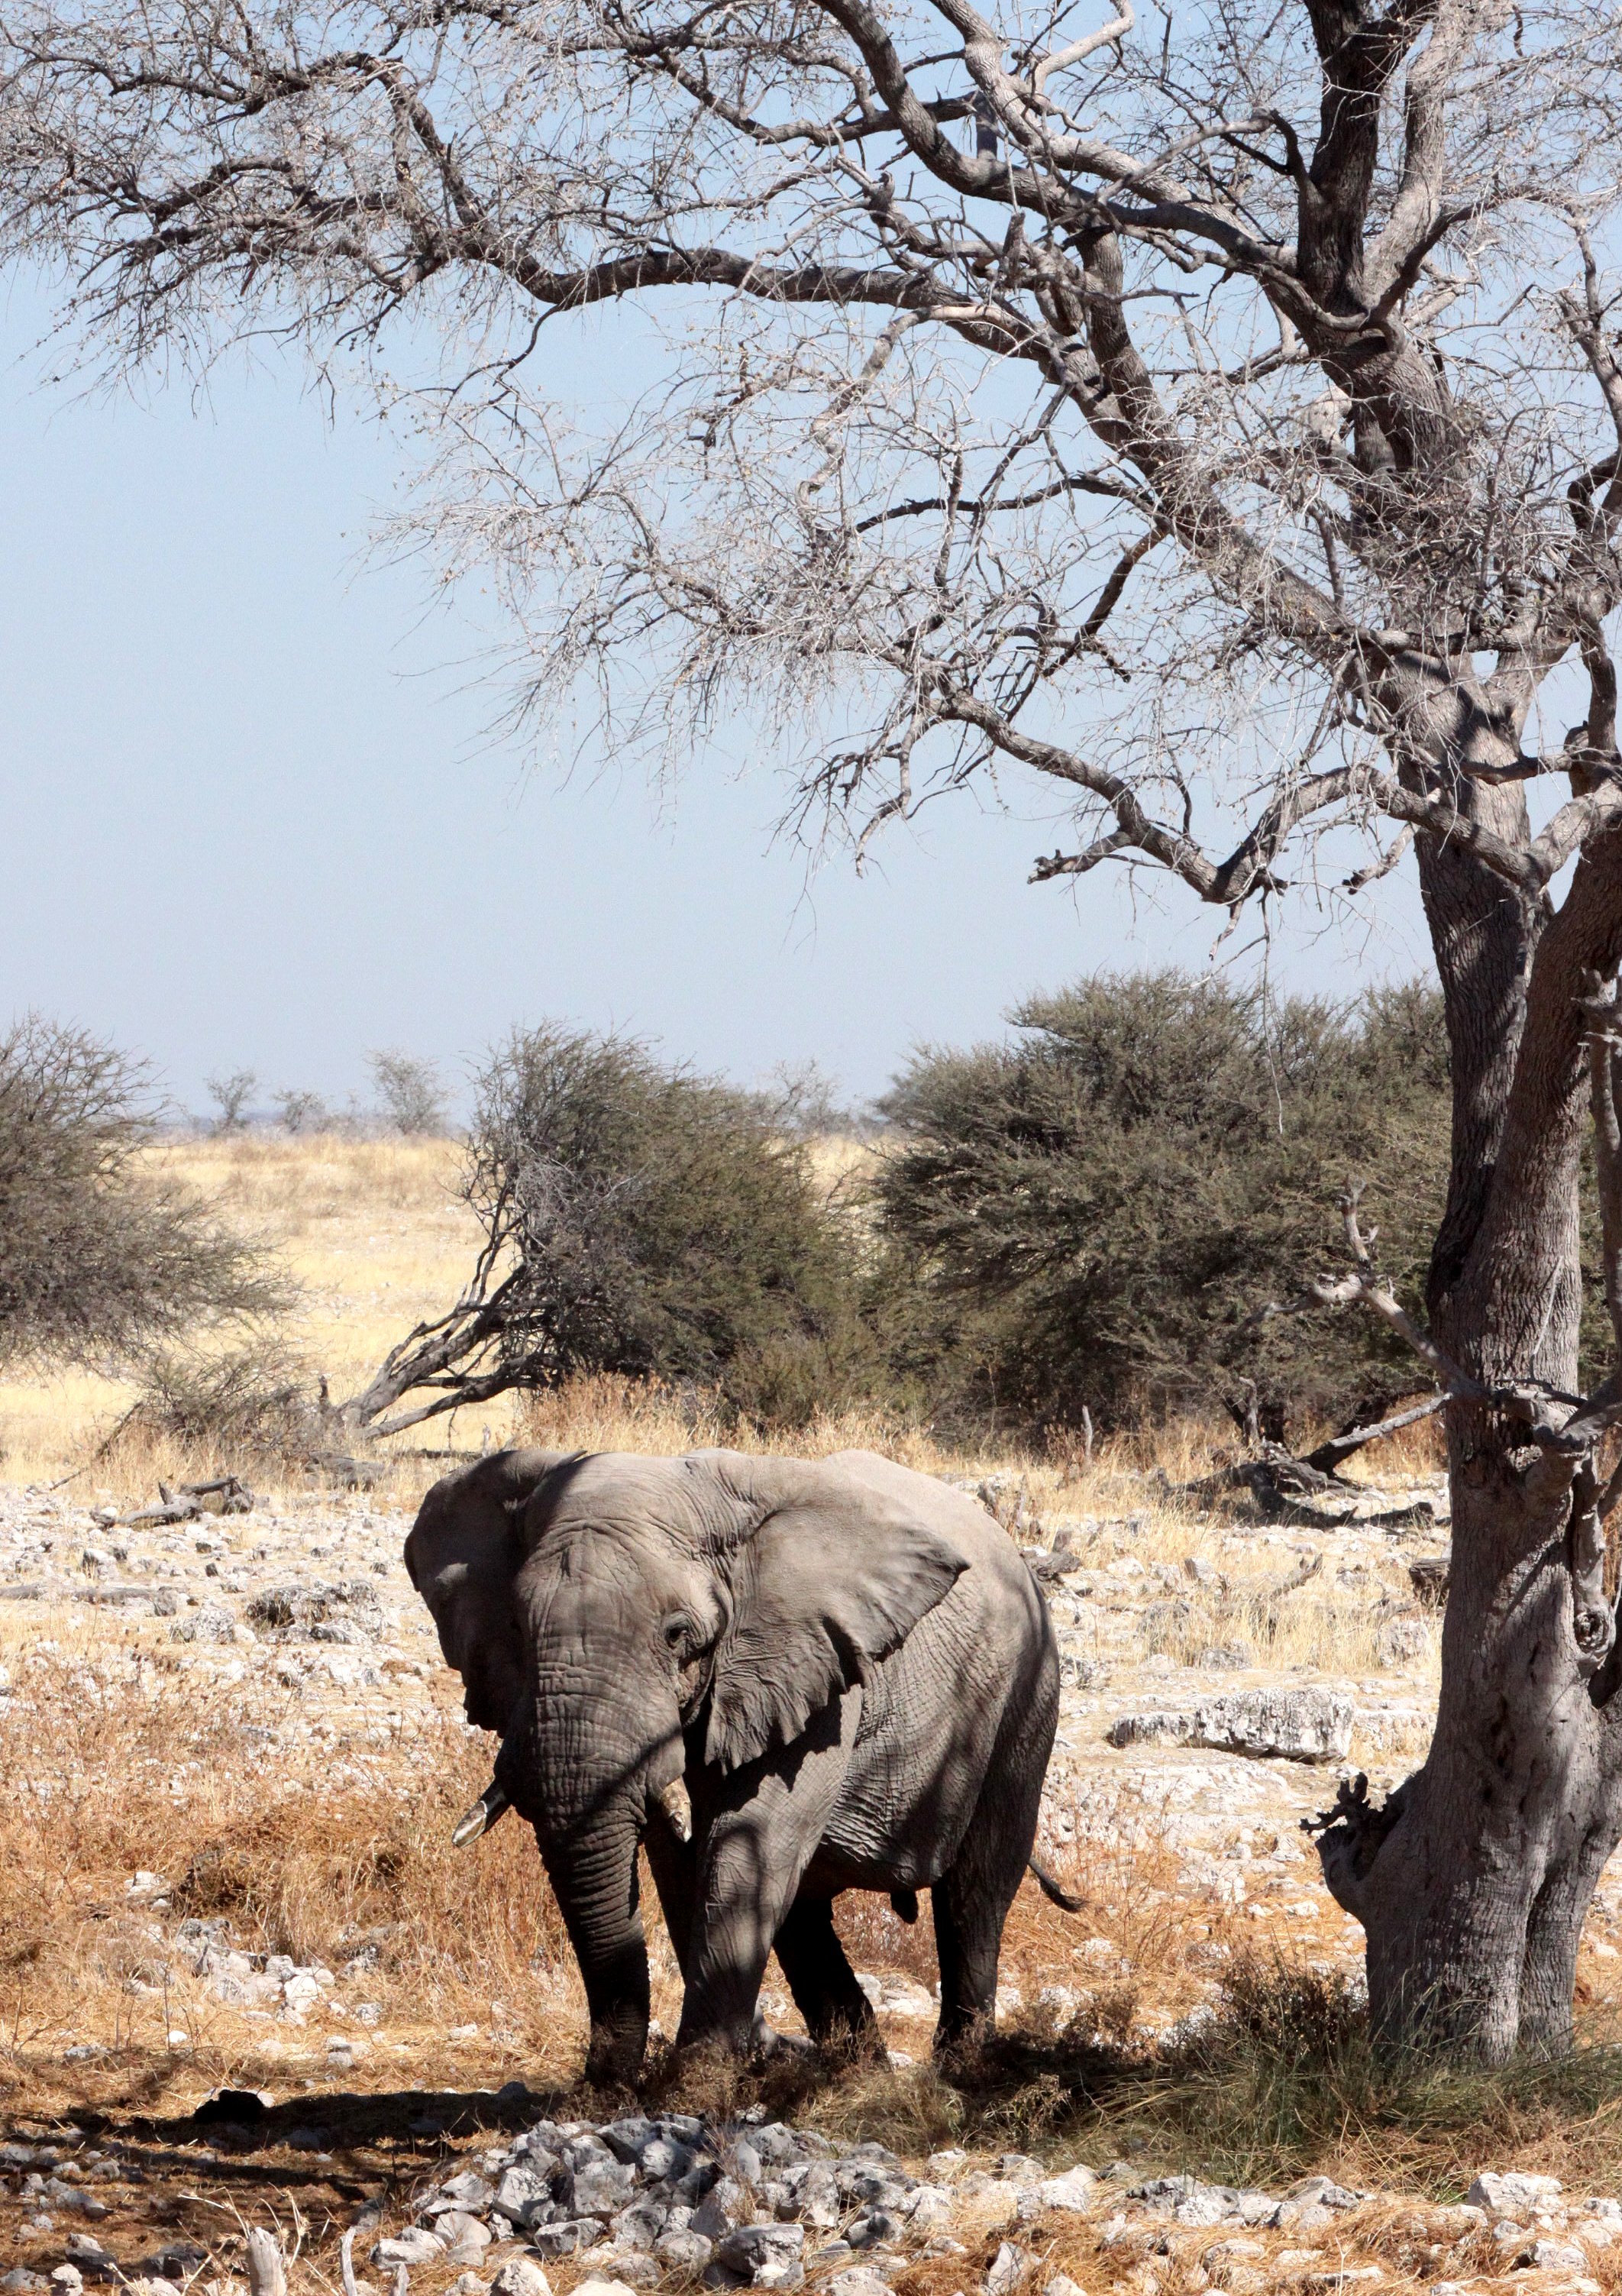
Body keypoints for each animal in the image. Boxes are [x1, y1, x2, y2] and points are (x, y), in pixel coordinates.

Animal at [404, 1443, 1067, 2078]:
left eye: (678, 1635)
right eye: (518, 1627)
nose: (598, 2084)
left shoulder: (814, 1672)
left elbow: (750, 1842)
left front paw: (691, 2091)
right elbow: (686, 1864)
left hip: (1028, 1696)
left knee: (975, 1894)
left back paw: (955, 2075)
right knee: (804, 1918)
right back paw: (857, 2078)